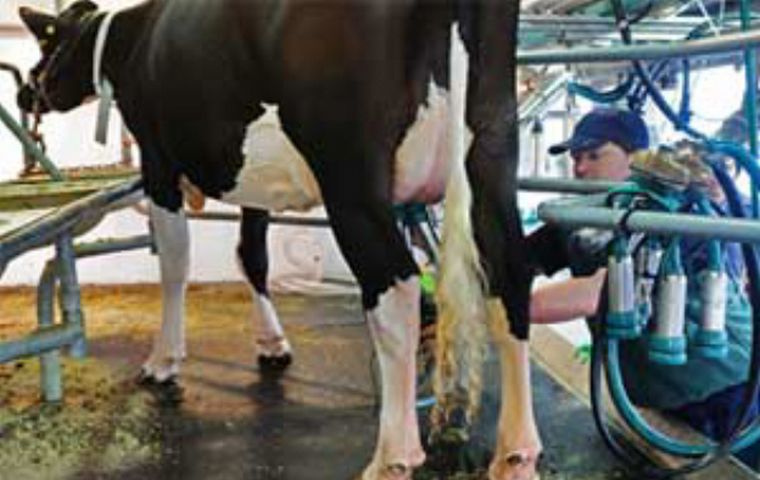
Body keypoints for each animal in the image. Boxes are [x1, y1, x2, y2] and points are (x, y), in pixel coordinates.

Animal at [19, 1, 540, 478]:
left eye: (46, 41)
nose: (27, 92)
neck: (132, 40)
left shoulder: (159, 163)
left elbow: (176, 264)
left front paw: (163, 359)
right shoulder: (254, 179)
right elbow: (252, 255)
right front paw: (272, 342)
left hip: (350, 178)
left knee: (397, 289)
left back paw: (392, 457)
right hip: (492, 153)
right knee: (509, 274)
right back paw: (516, 451)